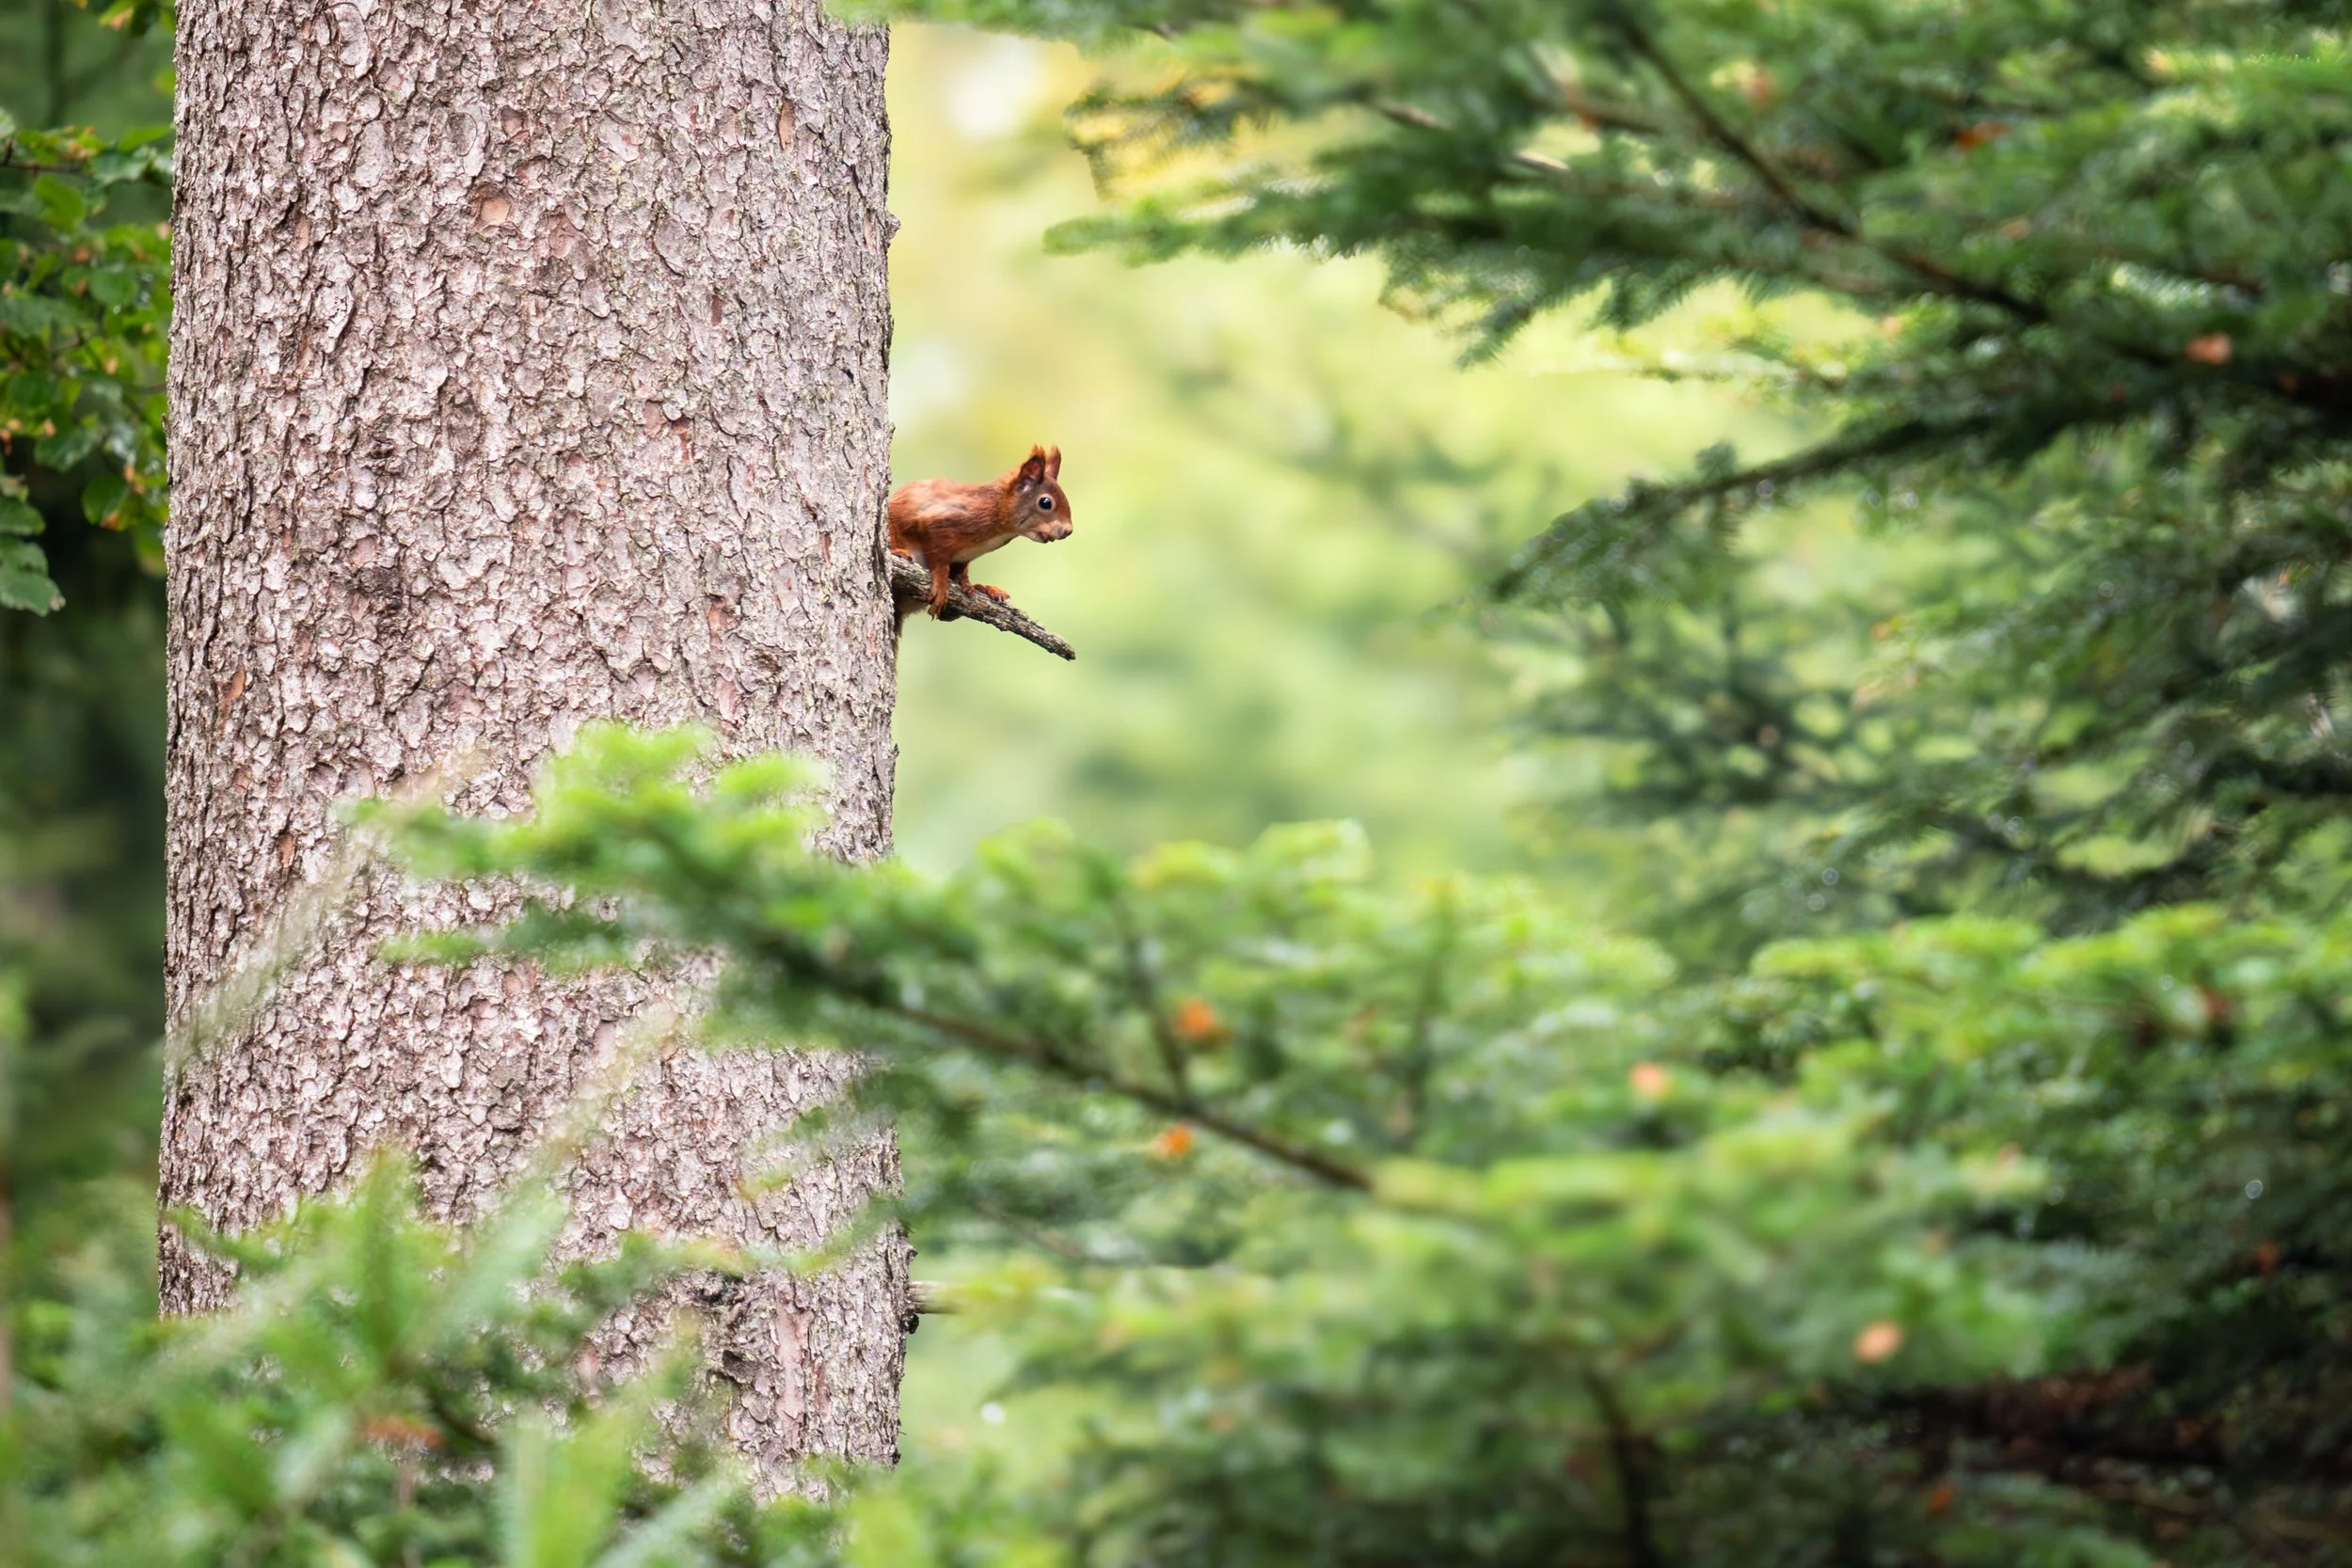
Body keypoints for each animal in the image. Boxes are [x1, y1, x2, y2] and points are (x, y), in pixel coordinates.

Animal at [887, 444, 1072, 621]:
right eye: (1045, 502)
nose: (1068, 531)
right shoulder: (938, 524)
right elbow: (939, 560)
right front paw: (941, 583)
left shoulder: (963, 557)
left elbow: (961, 573)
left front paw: (970, 586)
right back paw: (898, 552)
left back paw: (986, 588)